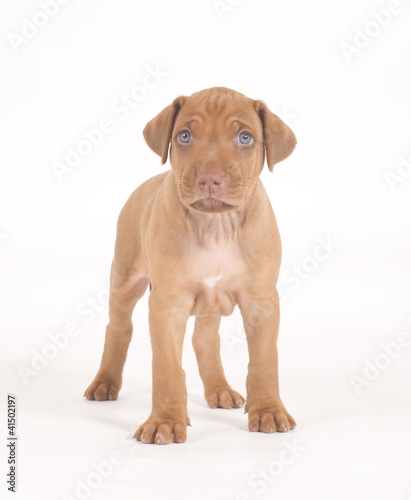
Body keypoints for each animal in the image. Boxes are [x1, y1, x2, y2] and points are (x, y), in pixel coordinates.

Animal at [84, 87, 296, 446]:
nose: (210, 178)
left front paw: (268, 409)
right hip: (125, 279)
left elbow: (265, 361)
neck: (217, 227)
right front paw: (165, 421)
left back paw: (220, 390)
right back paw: (105, 383)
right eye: (184, 135)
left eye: (245, 137)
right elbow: (167, 368)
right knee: (118, 328)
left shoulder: (261, 302)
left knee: (204, 340)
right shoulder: (167, 305)